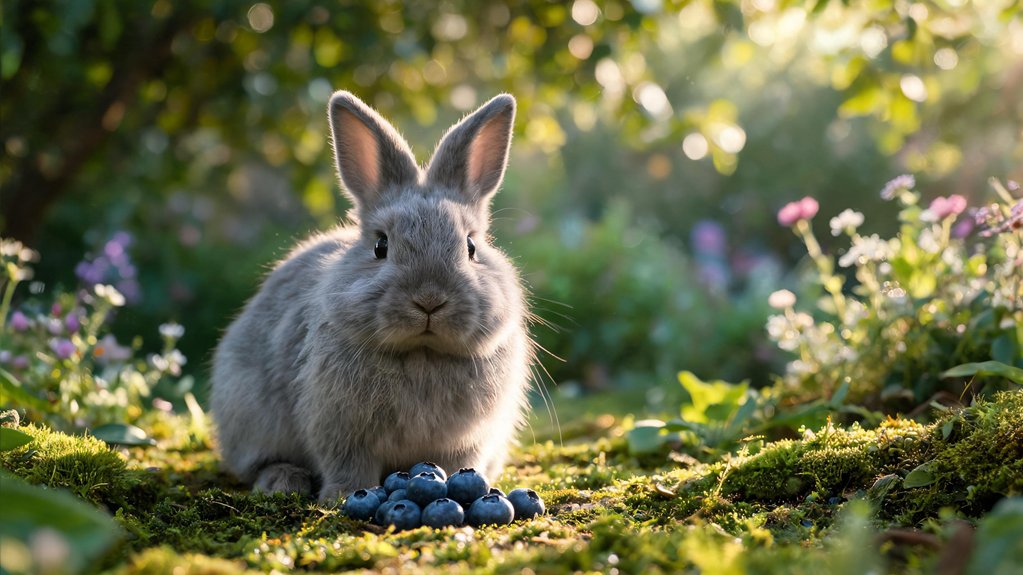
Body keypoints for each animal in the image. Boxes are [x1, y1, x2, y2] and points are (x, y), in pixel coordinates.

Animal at [211, 90, 533, 504]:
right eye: (381, 246)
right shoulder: (340, 430)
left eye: (471, 246)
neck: (421, 353)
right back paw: (282, 481)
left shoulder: (465, 443)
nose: (429, 299)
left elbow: (458, 465)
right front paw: (344, 496)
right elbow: (348, 464)